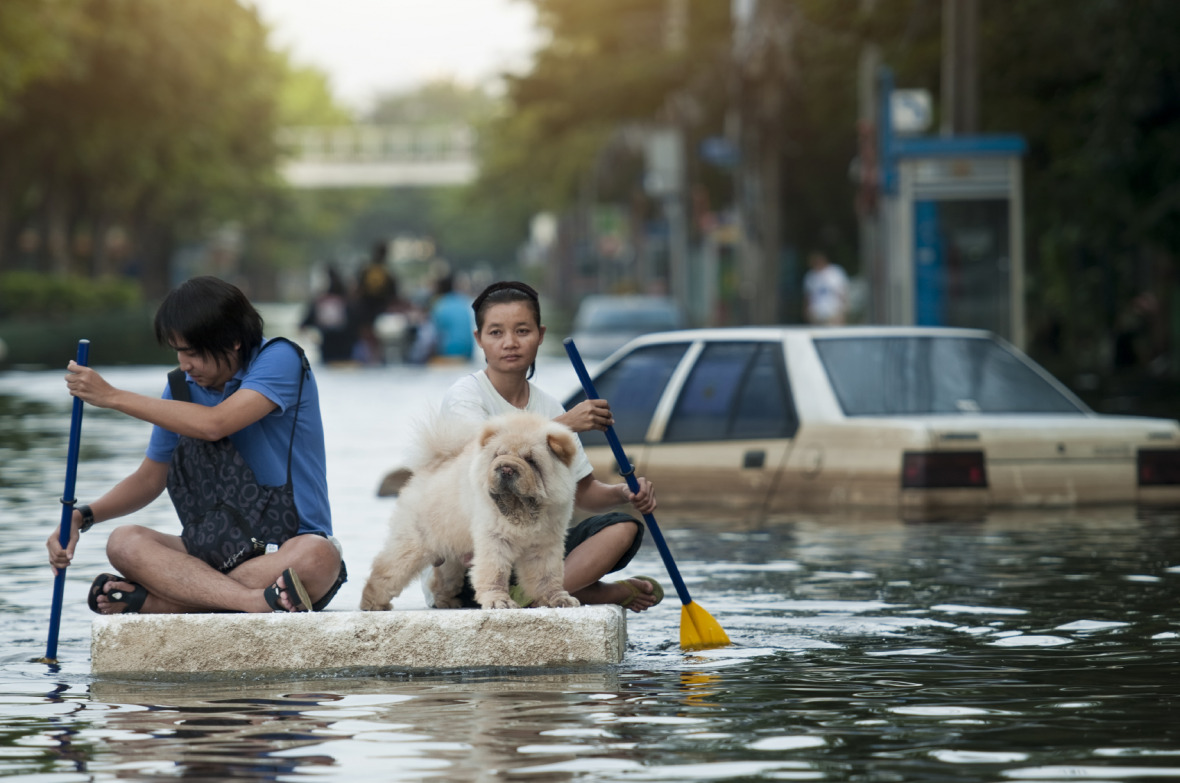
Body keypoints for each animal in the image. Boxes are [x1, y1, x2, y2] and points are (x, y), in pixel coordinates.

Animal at [358, 410, 580, 613]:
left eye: (531, 460)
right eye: (498, 455)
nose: (506, 468)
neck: (521, 511)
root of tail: (431, 466)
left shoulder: (545, 544)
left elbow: (547, 575)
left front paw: (558, 599)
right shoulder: (494, 539)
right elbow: (495, 572)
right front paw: (499, 602)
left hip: (451, 551)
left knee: (441, 580)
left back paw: (447, 601)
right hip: (411, 546)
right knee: (385, 571)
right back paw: (372, 604)